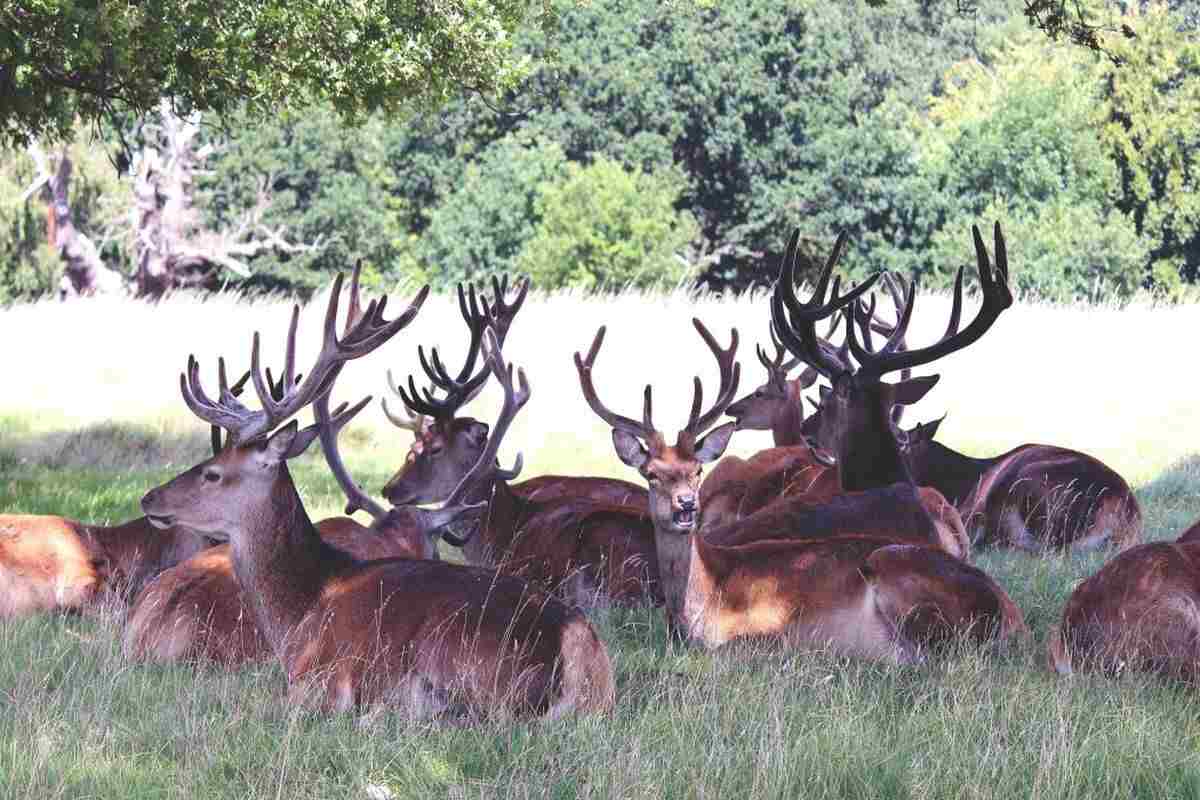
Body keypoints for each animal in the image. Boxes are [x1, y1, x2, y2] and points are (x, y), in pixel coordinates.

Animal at [136, 277, 614, 719]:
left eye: (212, 473)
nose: (149, 499)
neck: (298, 615)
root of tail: (574, 644)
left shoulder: (315, 679)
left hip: (460, 659)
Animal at [573, 303, 1022, 662]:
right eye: (651, 474)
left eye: (696, 470)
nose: (685, 505)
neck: (704, 601)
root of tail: (1014, 617)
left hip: (896, 569)